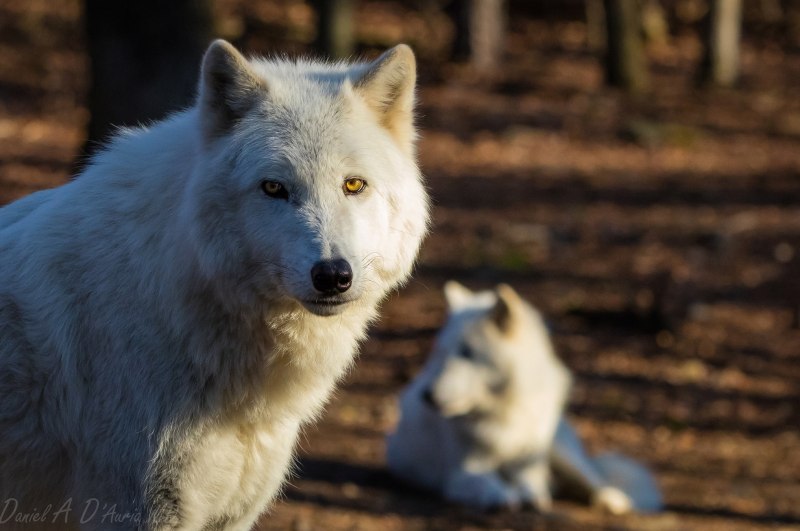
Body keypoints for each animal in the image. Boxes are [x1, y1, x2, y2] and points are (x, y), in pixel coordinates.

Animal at [386, 282, 662, 514]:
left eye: (467, 353)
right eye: (441, 352)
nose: (427, 395)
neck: (505, 413)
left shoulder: (529, 466)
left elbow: (531, 486)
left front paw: (530, 495)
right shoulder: (462, 473)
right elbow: (494, 486)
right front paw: (505, 495)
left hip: (561, 451)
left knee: (593, 479)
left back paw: (613, 498)